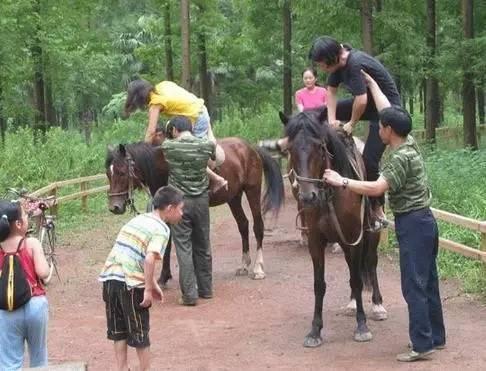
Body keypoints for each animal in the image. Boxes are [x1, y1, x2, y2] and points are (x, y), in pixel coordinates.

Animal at [104, 137, 282, 282]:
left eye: (121, 172)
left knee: (257, 226)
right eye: (108, 174)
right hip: (234, 198)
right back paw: (244, 265)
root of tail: (250, 148)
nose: (114, 207)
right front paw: (164, 276)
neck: (165, 167)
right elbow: (167, 243)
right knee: (243, 225)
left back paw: (258, 269)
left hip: (252, 191)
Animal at [280, 110, 388, 348]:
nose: (308, 196)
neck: (330, 193)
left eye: (320, 147)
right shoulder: (316, 241)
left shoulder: (354, 238)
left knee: (370, 263)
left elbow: (357, 280)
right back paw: (352, 304)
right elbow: (319, 284)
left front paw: (362, 326)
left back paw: (377, 305)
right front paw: (315, 331)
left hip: (371, 235)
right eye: (290, 149)